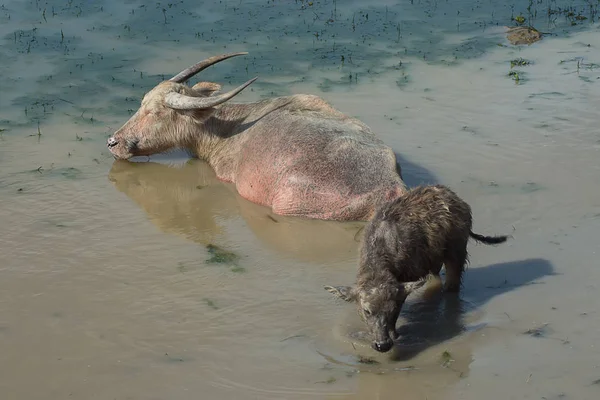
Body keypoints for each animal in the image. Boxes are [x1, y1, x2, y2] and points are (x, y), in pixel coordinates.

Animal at [326, 184, 508, 354]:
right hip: (434, 262)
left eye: (392, 310)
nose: (382, 345)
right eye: (367, 311)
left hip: (456, 252)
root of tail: (458, 201)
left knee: (452, 283)